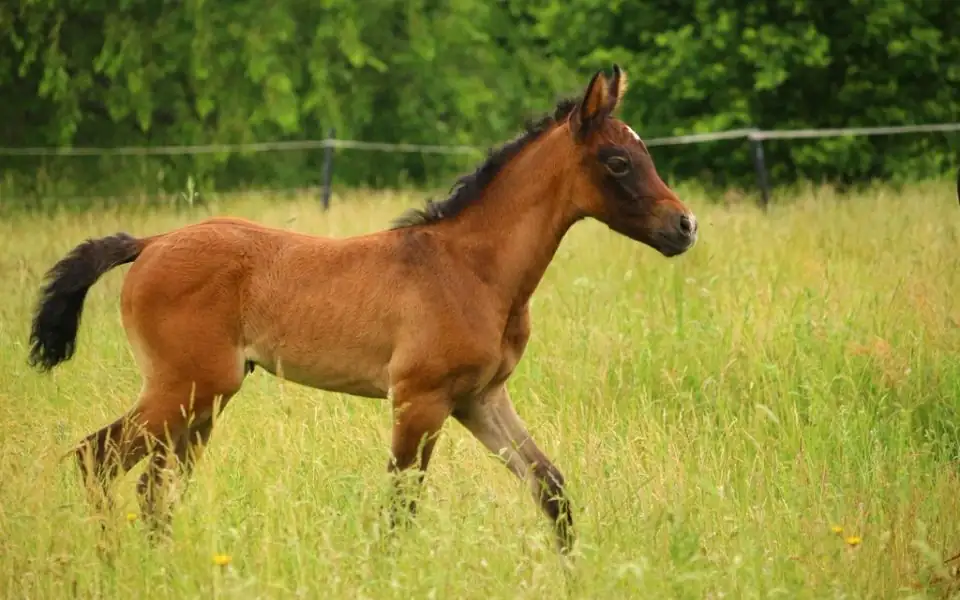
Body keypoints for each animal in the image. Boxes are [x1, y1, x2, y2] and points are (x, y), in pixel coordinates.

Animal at [28, 65, 698, 555]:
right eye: (617, 161)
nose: (685, 226)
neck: (469, 269)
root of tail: (151, 242)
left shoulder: (480, 399)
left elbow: (549, 486)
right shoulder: (420, 400)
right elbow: (401, 506)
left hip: (205, 399)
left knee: (150, 485)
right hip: (186, 388)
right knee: (96, 461)